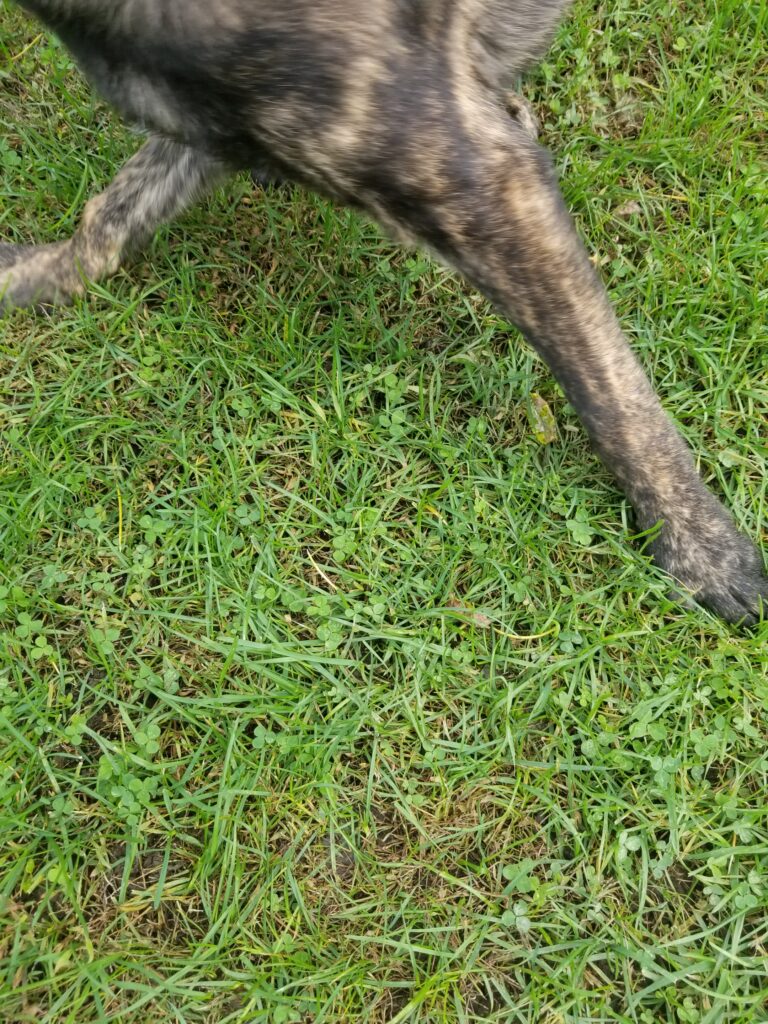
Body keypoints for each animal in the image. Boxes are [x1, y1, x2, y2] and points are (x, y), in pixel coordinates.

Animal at [3, 2, 765, 622]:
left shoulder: (487, 186)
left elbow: (611, 396)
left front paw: (701, 546)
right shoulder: (213, 122)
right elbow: (112, 214)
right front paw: (37, 274)